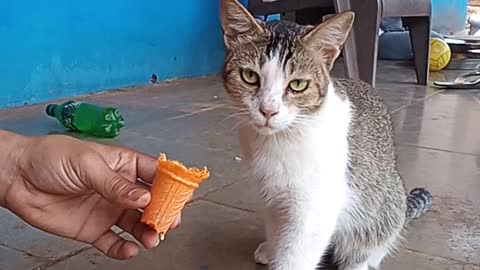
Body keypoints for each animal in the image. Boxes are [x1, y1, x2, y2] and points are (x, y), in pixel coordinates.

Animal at [219, 0, 434, 270]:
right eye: (249, 76)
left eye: (298, 84)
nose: (268, 110)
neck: (280, 140)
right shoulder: (273, 195)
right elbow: (278, 227)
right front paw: (274, 247)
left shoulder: (316, 206)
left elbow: (297, 253)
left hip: (382, 205)